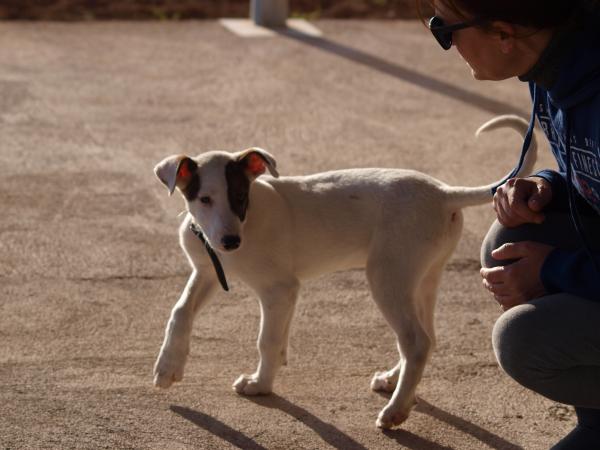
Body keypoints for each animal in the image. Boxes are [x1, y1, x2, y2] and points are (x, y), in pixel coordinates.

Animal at [152, 115, 536, 428]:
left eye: (240, 197)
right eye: (204, 199)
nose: (230, 242)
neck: (245, 224)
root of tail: (443, 193)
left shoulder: (279, 289)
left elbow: (267, 339)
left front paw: (260, 385)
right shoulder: (208, 271)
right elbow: (180, 311)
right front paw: (168, 368)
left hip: (387, 277)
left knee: (415, 341)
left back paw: (395, 412)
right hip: (422, 277)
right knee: (427, 337)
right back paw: (393, 382)